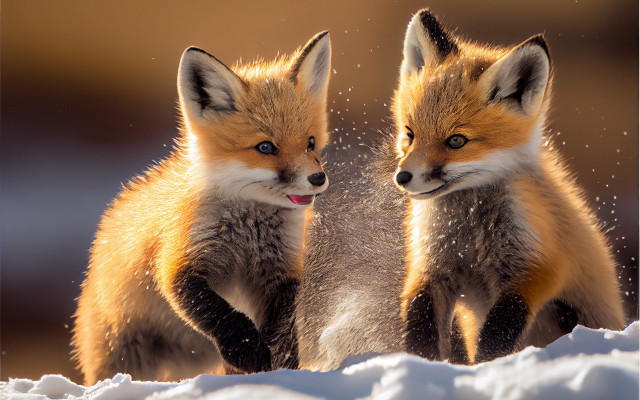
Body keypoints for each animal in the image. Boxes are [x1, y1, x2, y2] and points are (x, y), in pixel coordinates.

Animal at [72, 31, 332, 384]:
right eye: (265, 147)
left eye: (310, 143)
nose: (317, 179)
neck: (249, 232)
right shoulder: (179, 263)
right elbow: (220, 315)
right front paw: (250, 354)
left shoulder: (281, 272)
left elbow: (282, 331)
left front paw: (282, 369)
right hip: (121, 354)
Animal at [393, 9, 625, 364]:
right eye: (410, 134)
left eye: (456, 141)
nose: (403, 177)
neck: (471, 229)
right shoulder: (432, 267)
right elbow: (420, 327)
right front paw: (421, 364)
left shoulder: (536, 266)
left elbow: (499, 328)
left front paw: (488, 366)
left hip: (566, 311)